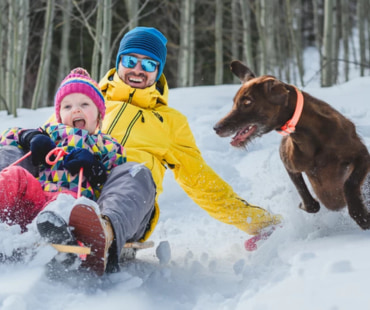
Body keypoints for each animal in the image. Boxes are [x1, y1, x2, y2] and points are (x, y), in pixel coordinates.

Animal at [214, 60, 370, 229]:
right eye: (234, 102)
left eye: (248, 102)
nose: (216, 128)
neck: (309, 135)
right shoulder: (290, 165)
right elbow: (309, 201)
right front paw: (304, 204)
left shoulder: (362, 155)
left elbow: (349, 184)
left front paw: (361, 215)